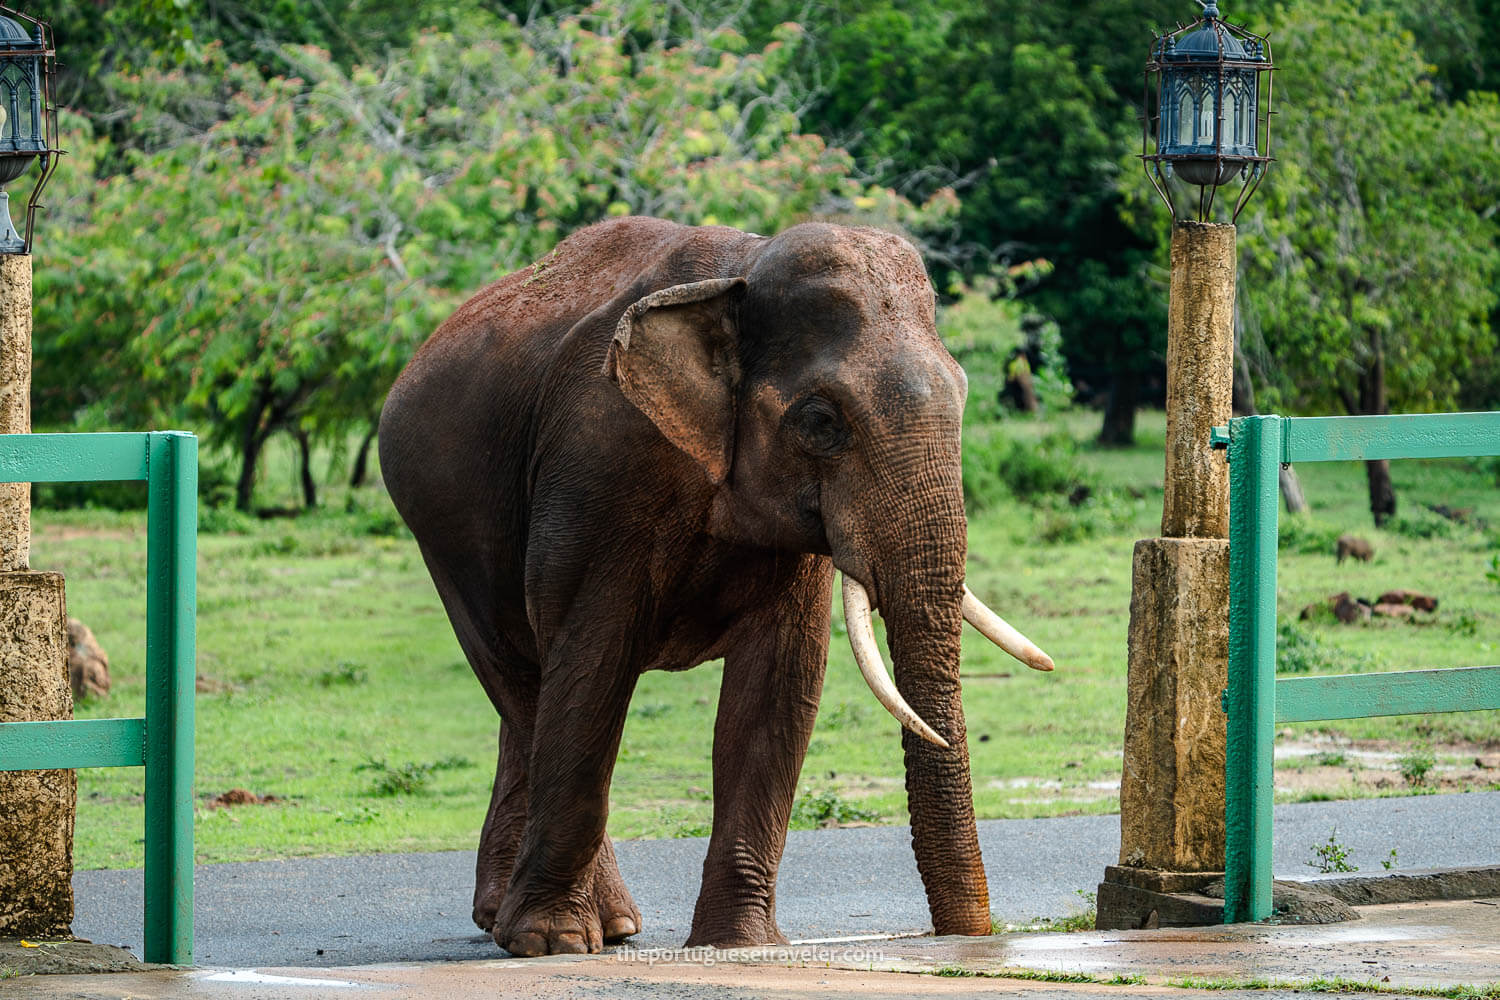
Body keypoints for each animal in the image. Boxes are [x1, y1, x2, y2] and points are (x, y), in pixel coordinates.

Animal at [375, 215, 1056, 959]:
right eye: (821, 423)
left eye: (963, 395)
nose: (967, 937)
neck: (739, 273)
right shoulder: (599, 464)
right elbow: (592, 665)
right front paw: (551, 944)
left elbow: (779, 685)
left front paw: (742, 945)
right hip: (443, 525)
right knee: (521, 679)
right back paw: (578, 929)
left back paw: (541, 920)